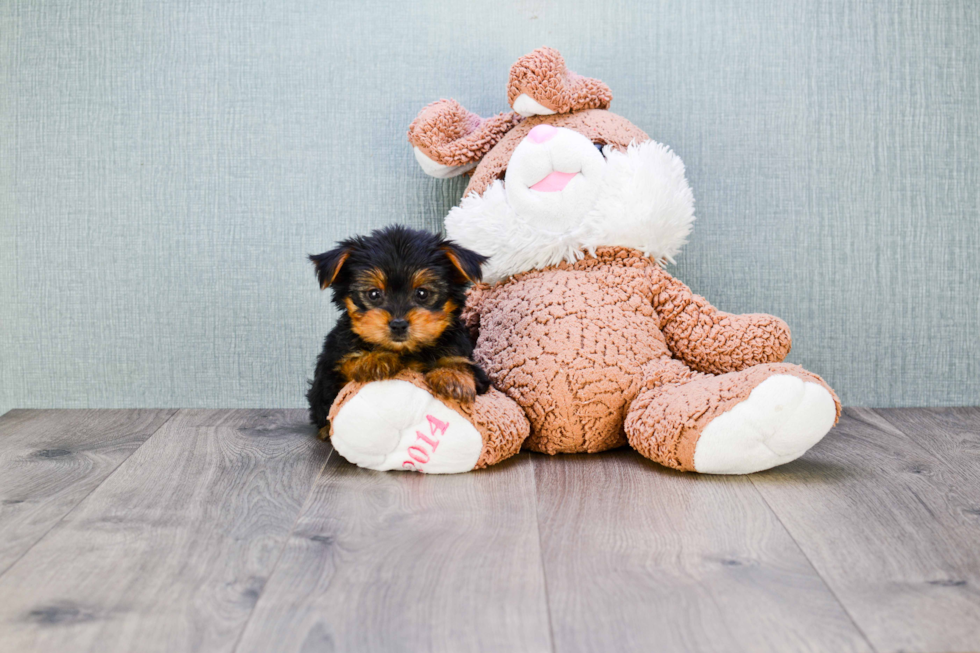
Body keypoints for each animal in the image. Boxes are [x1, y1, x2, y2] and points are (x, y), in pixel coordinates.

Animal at [306, 225, 490, 438]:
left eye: (422, 293)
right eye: (374, 294)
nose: (398, 324)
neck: (405, 351)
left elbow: (463, 363)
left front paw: (453, 374)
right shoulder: (330, 369)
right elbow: (344, 369)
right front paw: (373, 359)